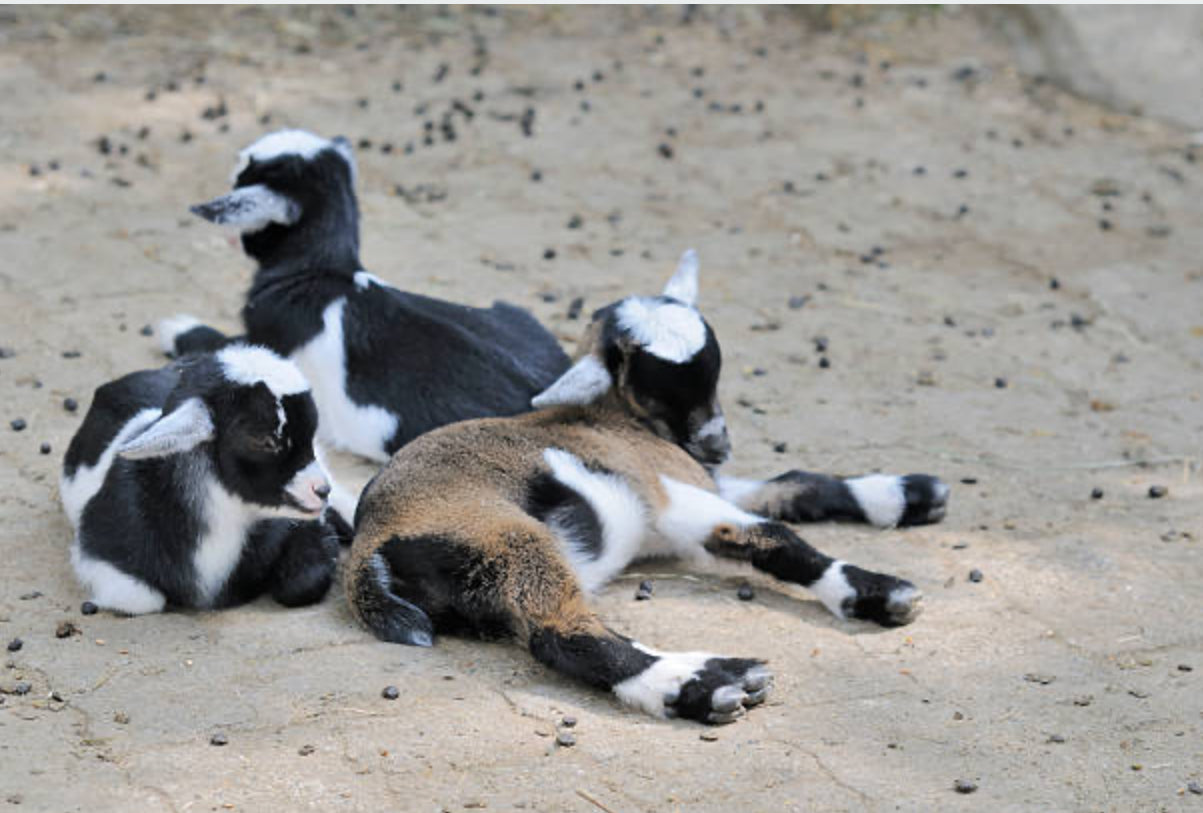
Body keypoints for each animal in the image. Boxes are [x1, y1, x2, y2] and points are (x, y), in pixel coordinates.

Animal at [60, 344, 349, 615]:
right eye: (262, 440)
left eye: (311, 432)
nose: (321, 491)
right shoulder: (98, 546)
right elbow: (143, 599)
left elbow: (302, 584)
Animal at [345, 251, 950, 724]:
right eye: (658, 388)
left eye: (713, 369)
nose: (715, 441)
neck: (618, 419)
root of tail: (368, 545)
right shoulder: (667, 491)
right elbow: (775, 538)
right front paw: (878, 591)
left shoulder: (699, 481)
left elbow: (794, 486)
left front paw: (910, 494)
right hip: (505, 538)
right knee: (558, 632)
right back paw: (705, 685)